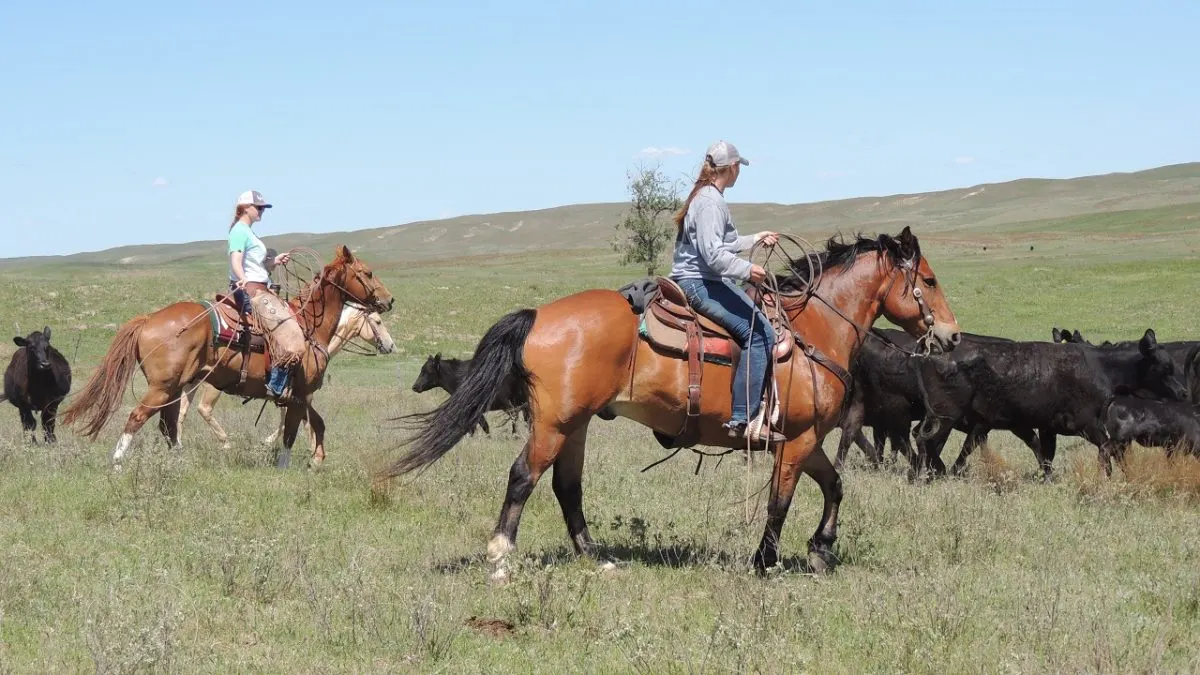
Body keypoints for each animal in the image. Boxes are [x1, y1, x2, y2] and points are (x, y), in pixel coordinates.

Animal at [914, 328, 1188, 479]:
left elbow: (1045, 453)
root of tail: (928, 354)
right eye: (1165, 367)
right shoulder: (1087, 424)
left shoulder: (1047, 426)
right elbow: (1111, 449)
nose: (1184, 393)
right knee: (927, 441)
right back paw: (931, 473)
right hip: (945, 416)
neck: (1100, 367)